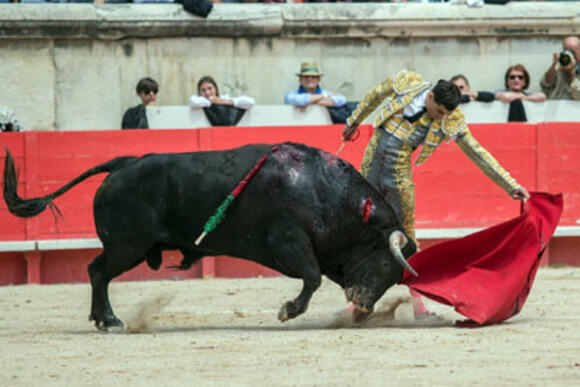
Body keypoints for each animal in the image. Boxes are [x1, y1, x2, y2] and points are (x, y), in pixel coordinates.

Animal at [2, 143, 414, 334]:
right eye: (384, 261)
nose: (363, 307)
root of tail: (123, 163)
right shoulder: (289, 242)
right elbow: (311, 278)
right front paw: (287, 310)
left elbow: (314, 276)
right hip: (127, 246)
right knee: (98, 272)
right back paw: (110, 320)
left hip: (127, 247)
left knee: (96, 272)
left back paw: (101, 318)